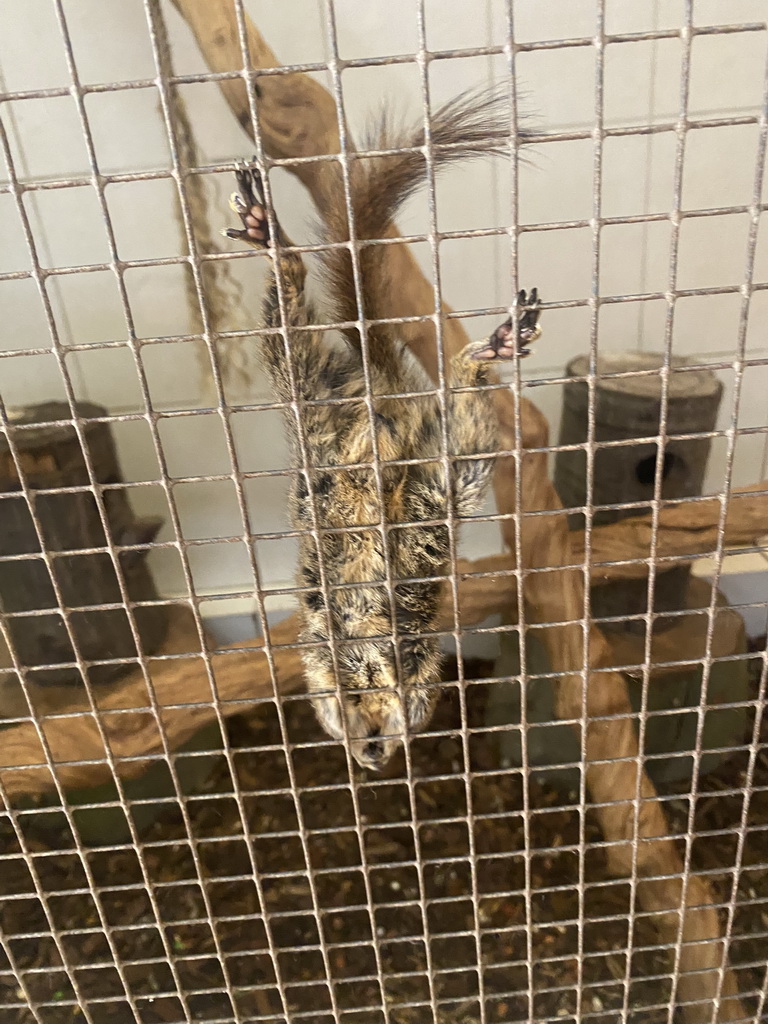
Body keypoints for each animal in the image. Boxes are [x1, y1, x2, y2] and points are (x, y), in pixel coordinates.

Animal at [225, 88, 544, 770]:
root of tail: (383, 392)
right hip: (321, 411)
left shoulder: (406, 654)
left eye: (383, 740)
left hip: (380, 443)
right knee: (291, 338)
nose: (372, 753)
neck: (368, 665)